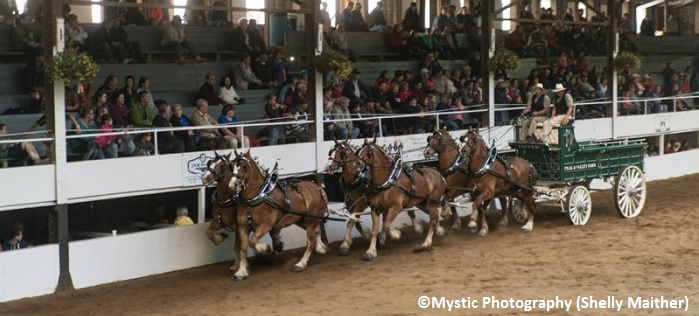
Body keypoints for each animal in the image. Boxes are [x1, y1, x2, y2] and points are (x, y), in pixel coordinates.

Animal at [227, 149, 330, 280]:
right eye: (232, 167)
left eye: (244, 166)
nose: (233, 185)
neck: (256, 197)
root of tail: (318, 187)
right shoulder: (243, 226)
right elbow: (243, 249)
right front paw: (241, 272)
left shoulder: (265, 226)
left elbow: (252, 241)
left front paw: (265, 248)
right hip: (301, 219)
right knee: (316, 232)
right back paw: (321, 248)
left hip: (310, 219)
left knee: (310, 241)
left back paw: (301, 264)